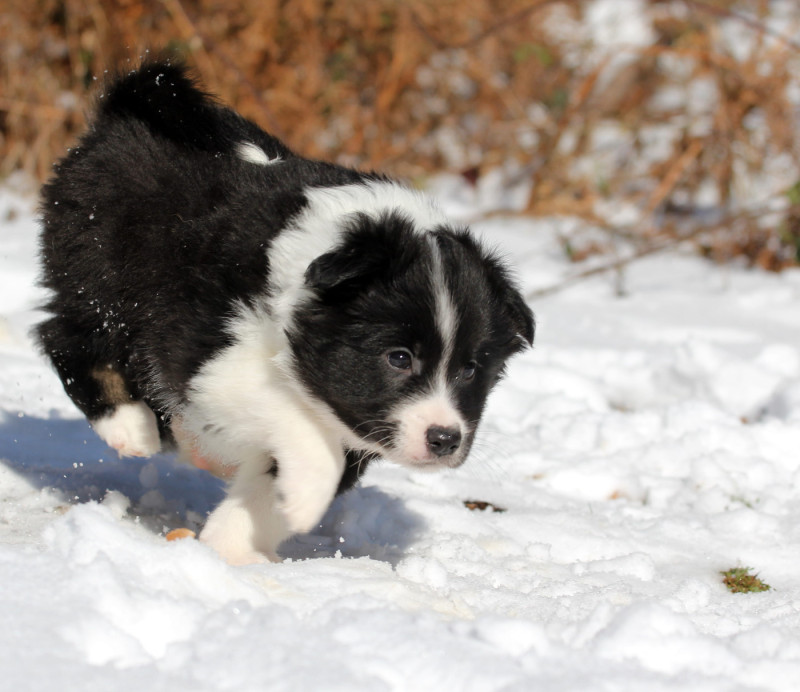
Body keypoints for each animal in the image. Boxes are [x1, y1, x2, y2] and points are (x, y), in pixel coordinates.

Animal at [36, 59, 534, 564]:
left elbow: (275, 477)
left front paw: (234, 548)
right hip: (98, 270)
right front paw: (306, 496)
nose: (445, 438)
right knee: (66, 333)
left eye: (470, 370)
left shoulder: (353, 419)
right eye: (398, 358)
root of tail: (134, 97)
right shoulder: (211, 359)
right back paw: (129, 426)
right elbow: (299, 421)